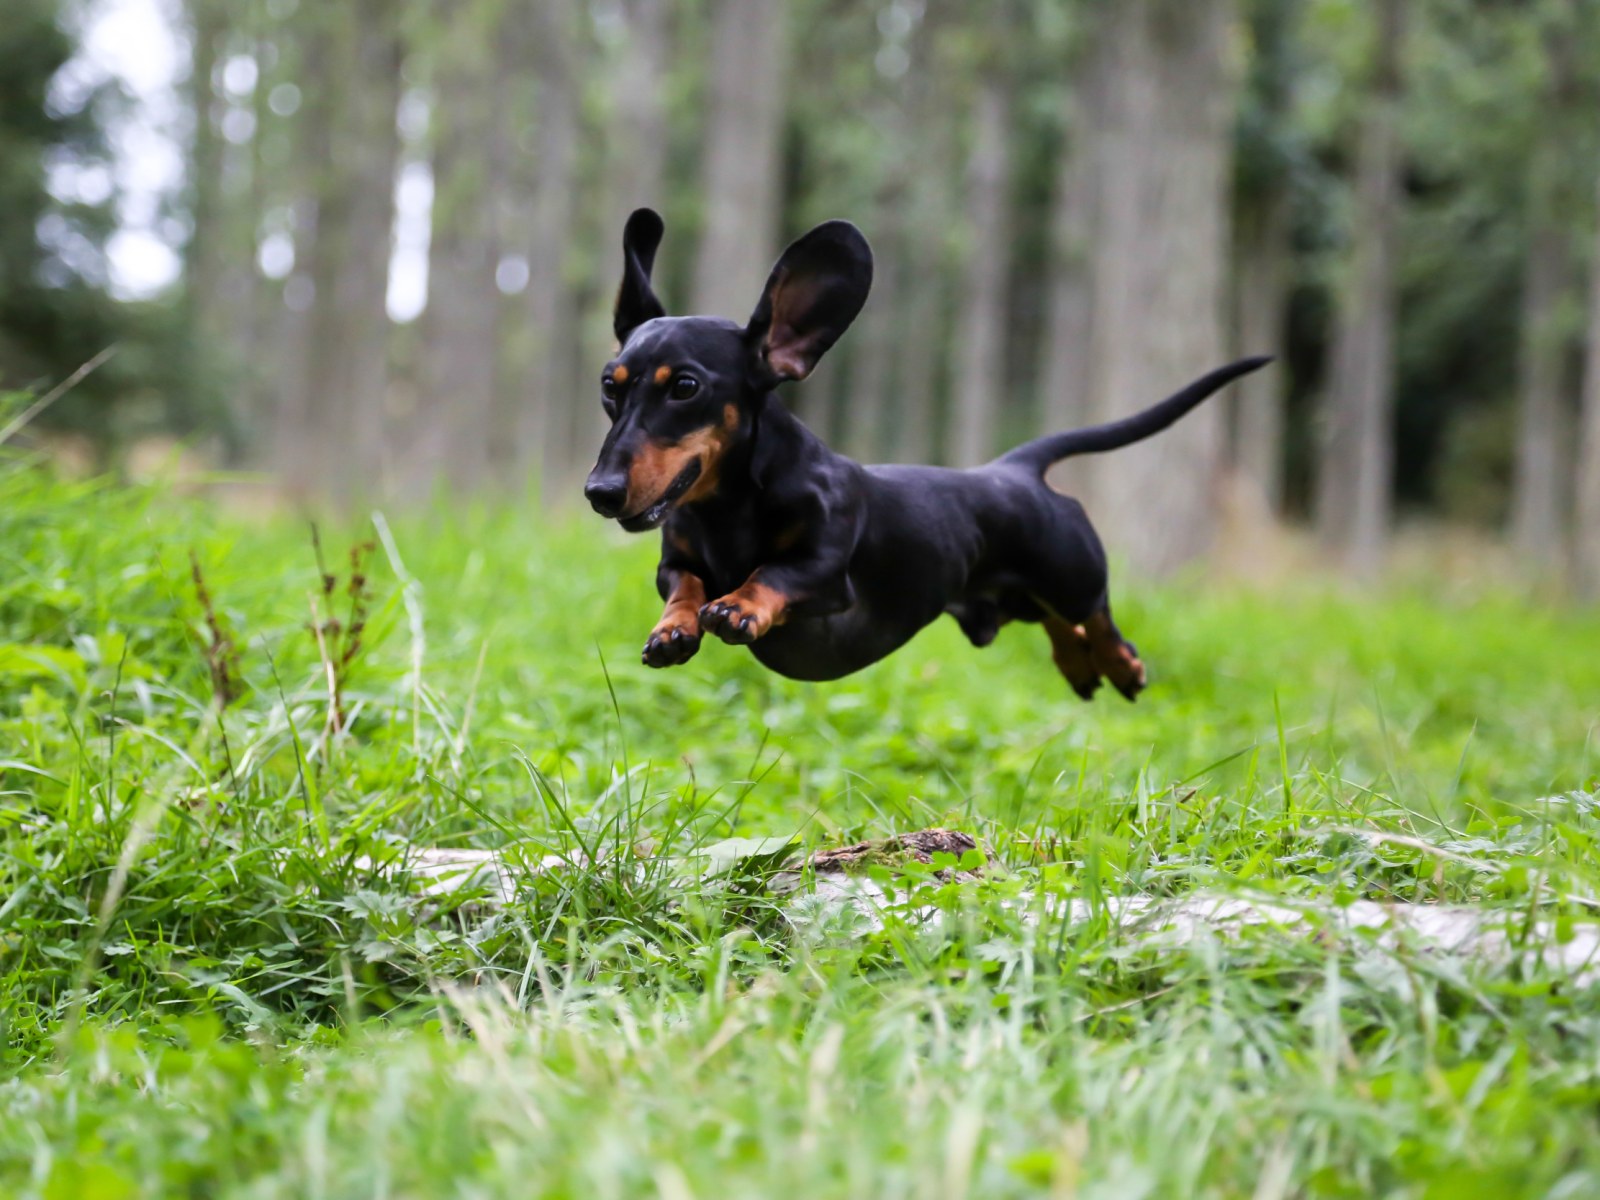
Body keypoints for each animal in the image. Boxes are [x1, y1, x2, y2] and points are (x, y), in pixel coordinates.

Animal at [582, 211, 1267, 700]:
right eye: (609, 386)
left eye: (685, 387)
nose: (600, 492)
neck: (729, 507)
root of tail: (1013, 469)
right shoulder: (675, 562)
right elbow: (685, 585)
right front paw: (673, 627)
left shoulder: (826, 570)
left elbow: (772, 573)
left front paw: (739, 605)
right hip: (1018, 595)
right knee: (1057, 622)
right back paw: (1079, 666)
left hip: (1069, 570)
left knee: (1093, 612)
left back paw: (1121, 665)